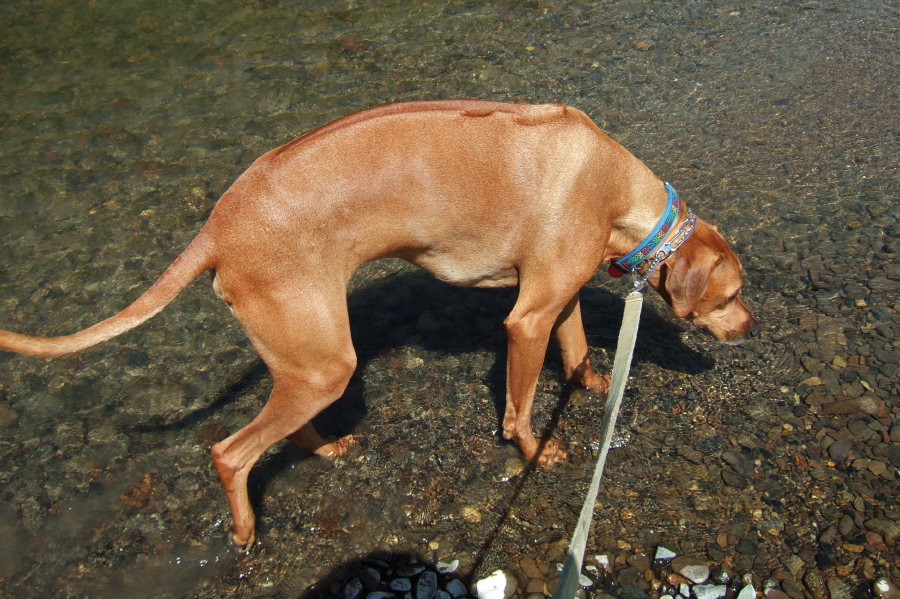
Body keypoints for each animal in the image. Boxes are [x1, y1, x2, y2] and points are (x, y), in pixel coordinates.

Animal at [0, 99, 760, 552]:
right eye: (733, 294)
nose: (752, 329)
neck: (615, 186)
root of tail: (218, 223)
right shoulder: (525, 320)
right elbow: (518, 407)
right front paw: (534, 453)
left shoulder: (559, 299)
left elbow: (574, 352)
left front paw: (596, 383)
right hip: (324, 363)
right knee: (230, 451)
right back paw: (245, 532)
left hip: (308, 361)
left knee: (283, 425)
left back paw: (324, 448)